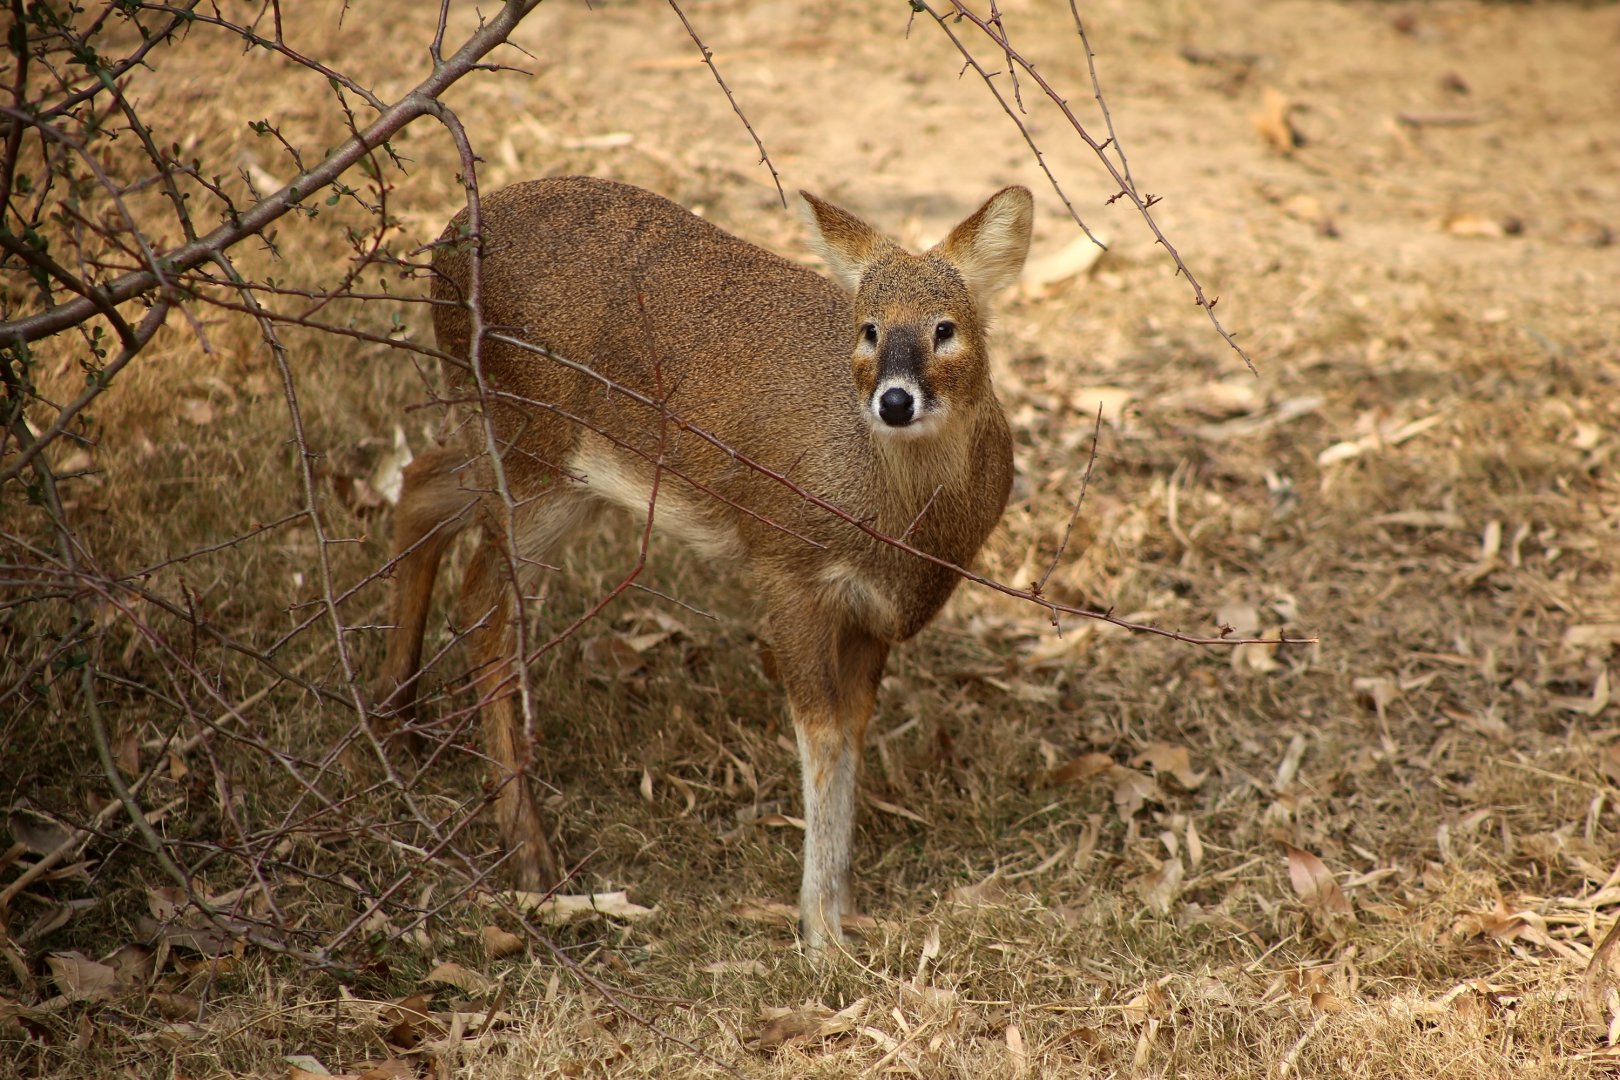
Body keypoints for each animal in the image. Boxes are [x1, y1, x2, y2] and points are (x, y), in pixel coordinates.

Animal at [379, 175, 1032, 950]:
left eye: (945, 328)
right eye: (869, 328)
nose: (894, 400)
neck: (904, 527)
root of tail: (446, 241)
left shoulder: (873, 615)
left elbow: (852, 734)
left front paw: (842, 908)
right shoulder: (789, 568)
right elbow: (821, 737)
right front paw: (820, 936)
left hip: (536, 465)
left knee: (420, 485)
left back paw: (394, 725)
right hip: (531, 454)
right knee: (483, 609)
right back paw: (531, 855)